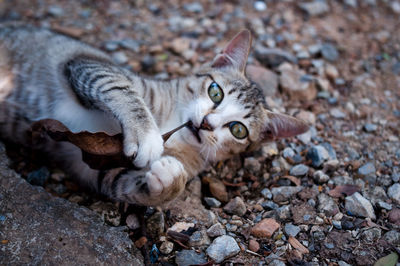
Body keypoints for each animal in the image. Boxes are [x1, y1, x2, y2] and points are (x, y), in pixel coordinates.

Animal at [0, 22, 310, 206]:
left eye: (238, 130)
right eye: (216, 92)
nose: (206, 124)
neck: (170, 125)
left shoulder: (87, 160)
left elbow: (123, 183)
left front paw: (169, 179)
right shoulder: (88, 64)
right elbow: (121, 90)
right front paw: (146, 136)